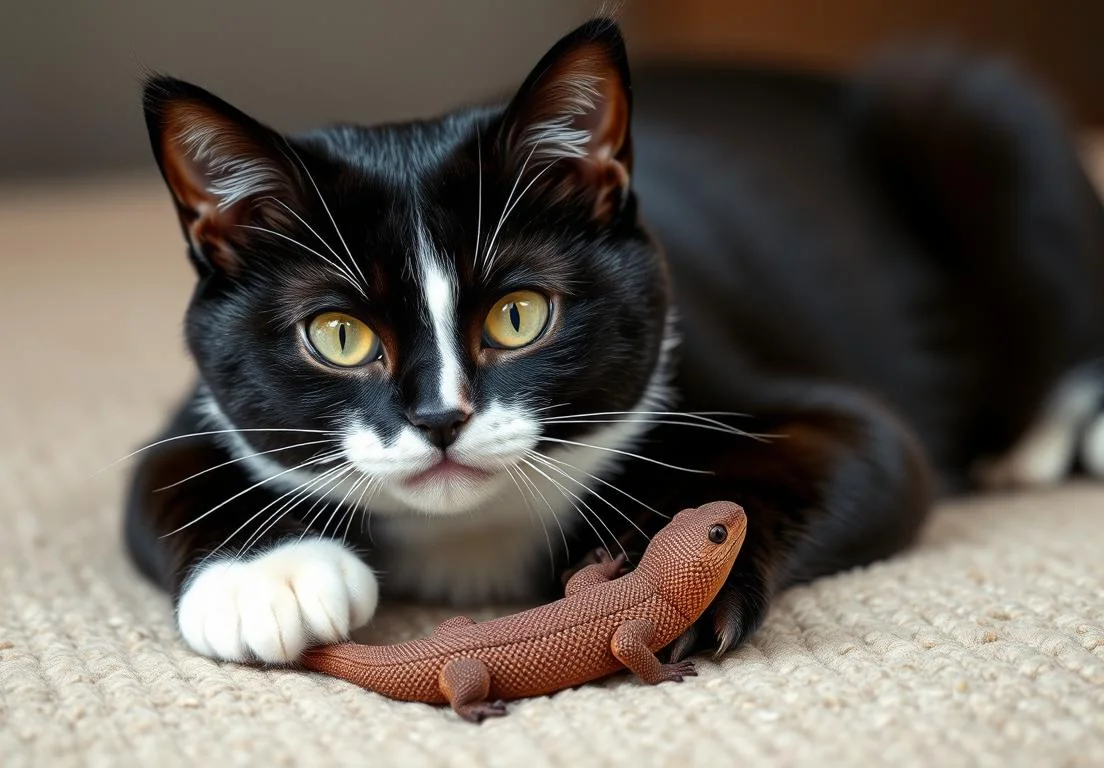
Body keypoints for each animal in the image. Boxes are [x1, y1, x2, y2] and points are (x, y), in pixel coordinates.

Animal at [123, 17, 1104, 666]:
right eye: (337, 334)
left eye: (518, 316)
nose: (441, 418)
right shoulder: (197, 409)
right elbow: (159, 480)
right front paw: (268, 580)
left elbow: (858, 454)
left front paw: (663, 576)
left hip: (971, 118)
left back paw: (1036, 445)